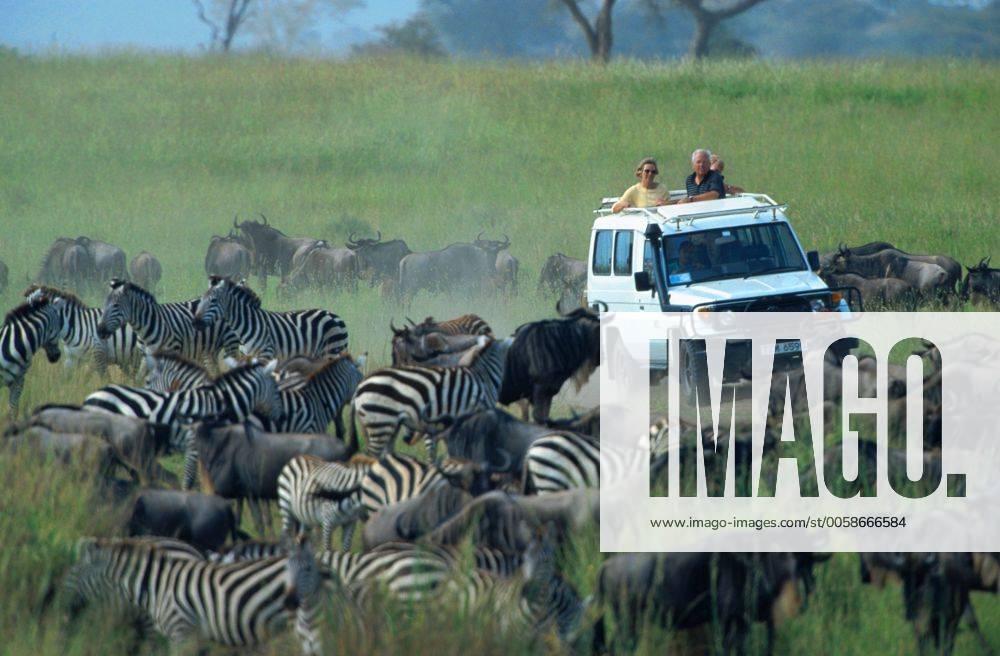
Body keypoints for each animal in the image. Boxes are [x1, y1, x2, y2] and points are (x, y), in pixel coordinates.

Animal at [96, 278, 240, 373]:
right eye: (104, 304)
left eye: (115, 306)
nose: (99, 331)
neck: (145, 328)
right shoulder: (146, 357)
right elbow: (139, 379)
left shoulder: (172, 351)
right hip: (210, 349)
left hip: (230, 342)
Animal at [193, 276, 348, 360]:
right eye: (200, 300)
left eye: (213, 301)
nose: (195, 323)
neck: (245, 326)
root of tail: (335, 316)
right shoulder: (245, 357)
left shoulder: (265, 354)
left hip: (332, 350)